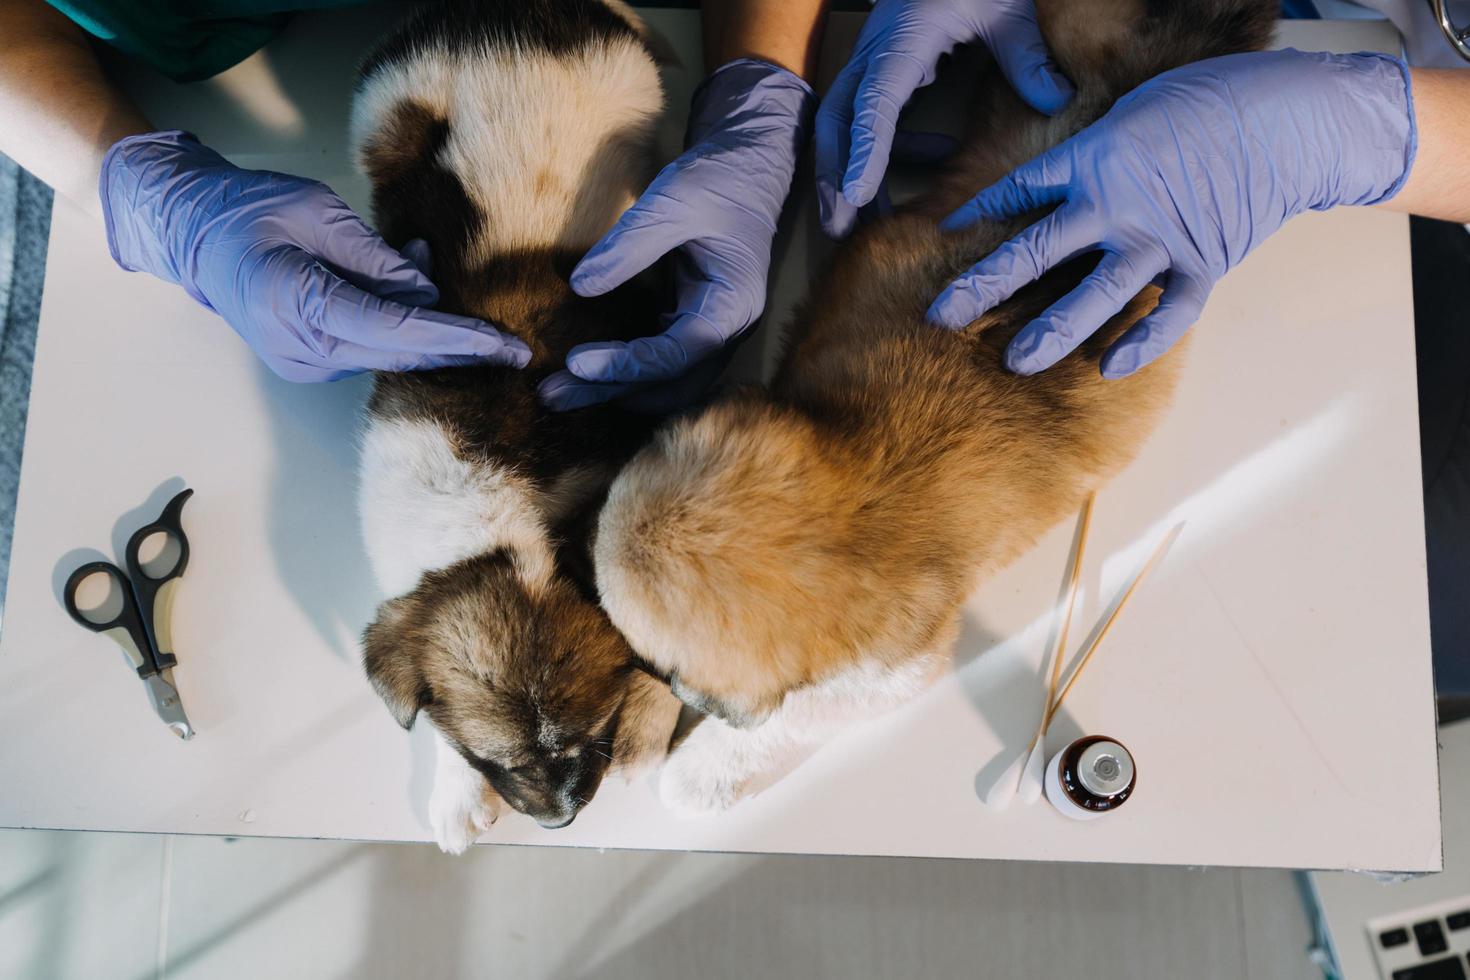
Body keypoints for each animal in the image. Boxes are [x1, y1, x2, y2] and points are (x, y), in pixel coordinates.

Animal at [352, 0, 679, 852]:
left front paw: (648, 724)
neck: (496, 513)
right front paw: (453, 790)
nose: (561, 820)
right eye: (497, 759)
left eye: (593, 735)